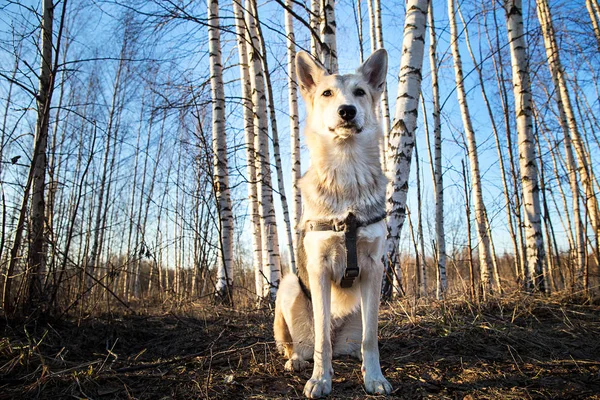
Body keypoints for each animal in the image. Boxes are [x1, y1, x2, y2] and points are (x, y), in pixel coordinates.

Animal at [274, 49, 392, 396]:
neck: (347, 172)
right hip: (288, 286)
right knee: (301, 344)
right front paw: (320, 379)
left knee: (356, 341)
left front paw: (375, 378)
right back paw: (298, 361)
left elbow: (371, 339)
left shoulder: (374, 267)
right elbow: (322, 341)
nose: (347, 111)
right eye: (327, 93)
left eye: (360, 92)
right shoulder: (319, 268)